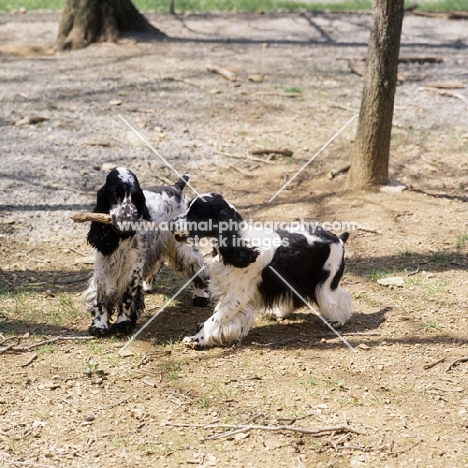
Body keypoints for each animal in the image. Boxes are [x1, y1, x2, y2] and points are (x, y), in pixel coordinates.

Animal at [83, 168, 209, 336]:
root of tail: (175, 188)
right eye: (115, 193)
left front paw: (123, 323)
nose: (128, 221)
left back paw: (201, 296)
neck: (119, 239)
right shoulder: (103, 266)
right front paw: (99, 325)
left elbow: (127, 297)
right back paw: (148, 285)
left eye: (135, 195)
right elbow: (102, 298)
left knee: (197, 267)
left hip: (183, 246)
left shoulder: (132, 268)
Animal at [171, 192, 352, 350]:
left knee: (340, 298)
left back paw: (337, 321)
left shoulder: (236, 297)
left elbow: (214, 320)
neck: (240, 244)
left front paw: (197, 340)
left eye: (196, 214)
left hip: (326, 284)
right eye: (188, 207)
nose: (171, 223)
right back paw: (278, 312)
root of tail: (337, 237)